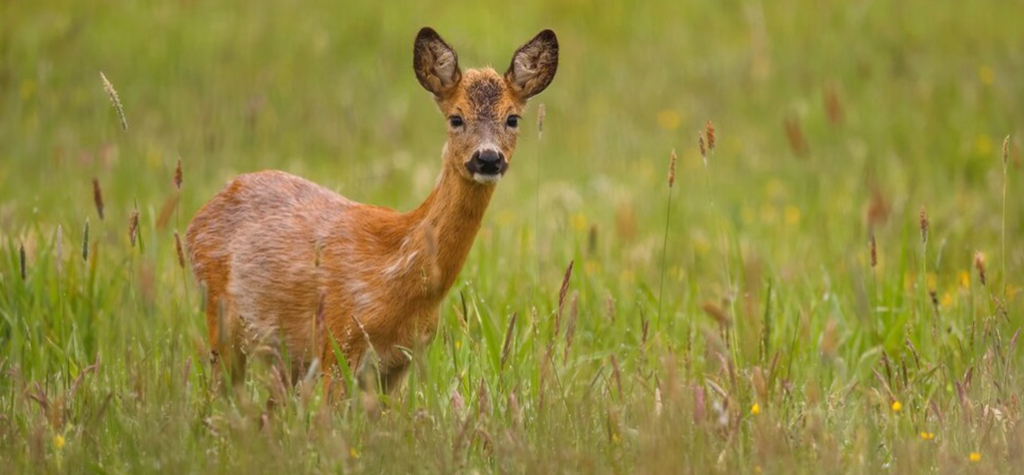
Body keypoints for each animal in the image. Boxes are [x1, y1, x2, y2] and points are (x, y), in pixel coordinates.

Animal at [188, 27, 565, 395]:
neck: (396, 274)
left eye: (512, 119)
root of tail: (198, 218)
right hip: (222, 321)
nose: (487, 158)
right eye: (456, 118)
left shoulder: (401, 362)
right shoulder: (336, 343)